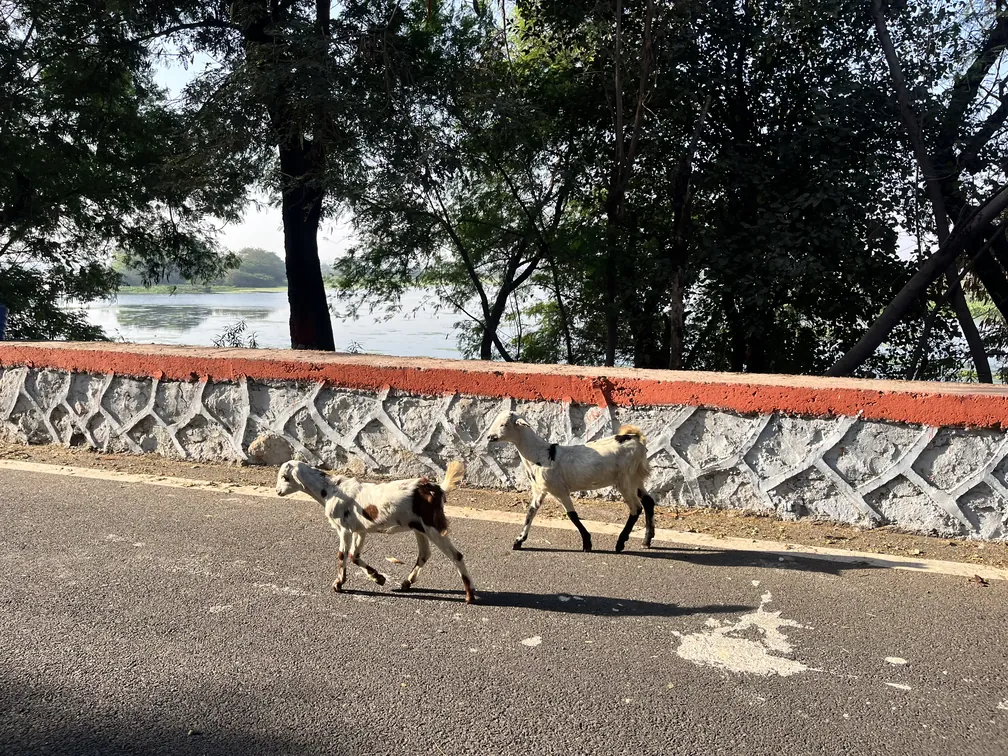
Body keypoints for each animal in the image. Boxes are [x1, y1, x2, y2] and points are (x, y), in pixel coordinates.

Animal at [274, 461, 473, 604]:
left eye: (285, 477)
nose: (277, 491)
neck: (329, 490)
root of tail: (435, 488)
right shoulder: (360, 530)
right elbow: (354, 555)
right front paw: (378, 578)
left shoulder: (344, 529)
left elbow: (342, 555)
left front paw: (338, 584)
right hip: (420, 527)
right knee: (424, 554)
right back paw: (406, 583)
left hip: (433, 527)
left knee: (456, 555)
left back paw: (469, 595)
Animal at [485, 411, 657, 552]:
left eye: (503, 424)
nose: (489, 436)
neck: (540, 453)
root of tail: (636, 439)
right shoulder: (540, 490)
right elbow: (530, 512)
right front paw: (519, 541)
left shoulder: (559, 490)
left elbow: (572, 515)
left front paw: (587, 543)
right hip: (635, 478)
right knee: (648, 502)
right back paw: (646, 540)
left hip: (625, 479)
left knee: (636, 508)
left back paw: (620, 543)